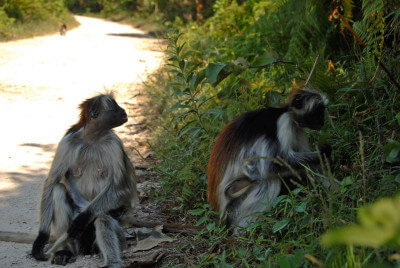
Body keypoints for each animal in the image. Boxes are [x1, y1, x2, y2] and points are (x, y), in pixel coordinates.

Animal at [31, 91, 138, 266]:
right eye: (115, 107)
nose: (123, 111)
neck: (93, 137)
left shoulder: (114, 143)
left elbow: (121, 189)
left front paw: (83, 218)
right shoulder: (67, 140)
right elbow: (51, 182)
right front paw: (41, 239)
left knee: (103, 218)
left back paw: (112, 262)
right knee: (58, 190)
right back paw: (64, 252)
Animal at [206, 89, 332, 227]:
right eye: (319, 112)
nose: (323, 121)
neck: (286, 112)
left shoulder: (298, 129)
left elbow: (309, 166)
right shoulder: (283, 123)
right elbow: (271, 167)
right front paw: (323, 153)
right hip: (233, 208)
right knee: (269, 182)